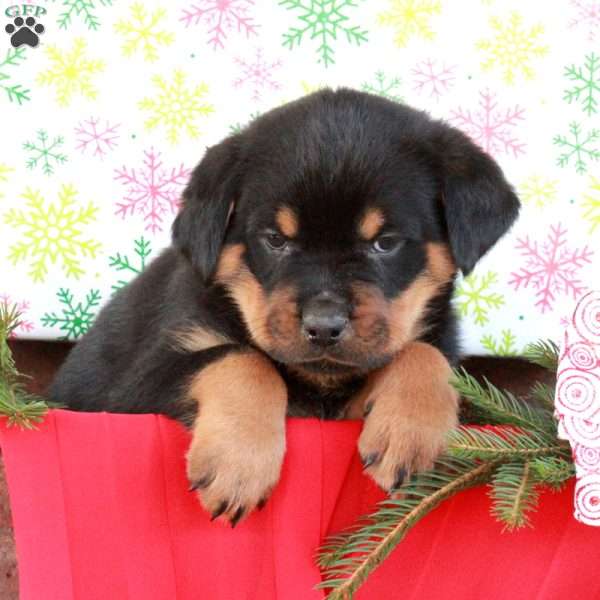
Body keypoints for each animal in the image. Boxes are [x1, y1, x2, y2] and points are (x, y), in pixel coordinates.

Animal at [50, 88, 520, 524]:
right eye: (275, 240)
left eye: (385, 243)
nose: (324, 326)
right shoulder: (130, 388)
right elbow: (241, 359)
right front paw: (237, 463)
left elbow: (425, 352)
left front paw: (408, 432)